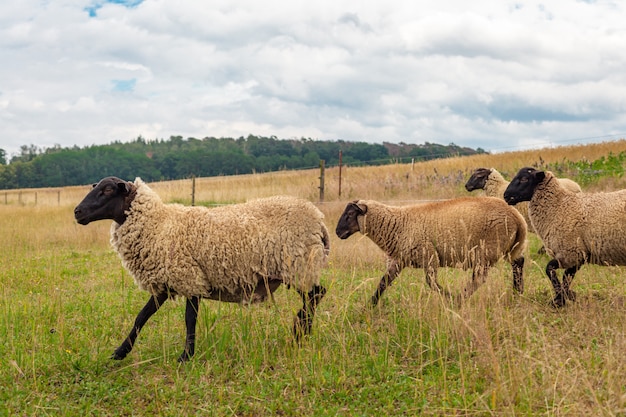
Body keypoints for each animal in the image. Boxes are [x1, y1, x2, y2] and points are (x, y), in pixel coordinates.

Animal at [73, 176, 330, 360]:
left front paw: (186, 356)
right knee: (315, 296)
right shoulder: (166, 283)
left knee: (315, 295)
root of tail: (319, 219)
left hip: (299, 265)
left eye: (107, 190)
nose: (77, 212)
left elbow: (189, 319)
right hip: (298, 268)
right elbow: (142, 316)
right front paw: (120, 352)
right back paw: (301, 333)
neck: (159, 224)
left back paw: (300, 333)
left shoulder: (190, 278)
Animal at [334, 197, 524, 304]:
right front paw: (370, 305)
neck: (398, 224)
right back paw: (518, 293)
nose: (337, 232)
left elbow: (431, 283)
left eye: (349, 215)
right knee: (518, 264)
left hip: (487, 250)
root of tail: (517, 216)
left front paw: (448, 297)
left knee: (479, 279)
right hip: (509, 248)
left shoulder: (430, 257)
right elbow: (383, 282)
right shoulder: (398, 260)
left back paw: (460, 300)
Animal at [502, 167, 626, 308]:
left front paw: (561, 299)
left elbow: (550, 270)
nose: (505, 196)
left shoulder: (572, 253)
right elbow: (566, 278)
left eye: (524, 179)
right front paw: (566, 297)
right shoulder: (578, 255)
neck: (559, 205)